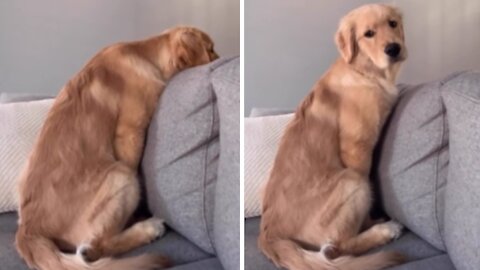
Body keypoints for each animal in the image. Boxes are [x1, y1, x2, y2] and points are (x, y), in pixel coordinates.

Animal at [15, 25, 218, 270]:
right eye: (210, 49)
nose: (220, 58)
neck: (145, 54)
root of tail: (28, 228)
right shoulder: (130, 131)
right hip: (121, 175)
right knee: (95, 247)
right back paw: (148, 229)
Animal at [258, 4, 408, 270]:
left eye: (392, 23)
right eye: (368, 34)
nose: (393, 49)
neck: (362, 71)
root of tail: (269, 236)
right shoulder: (356, 147)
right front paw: (370, 221)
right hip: (352, 181)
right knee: (338, 246)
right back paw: (385, 230)